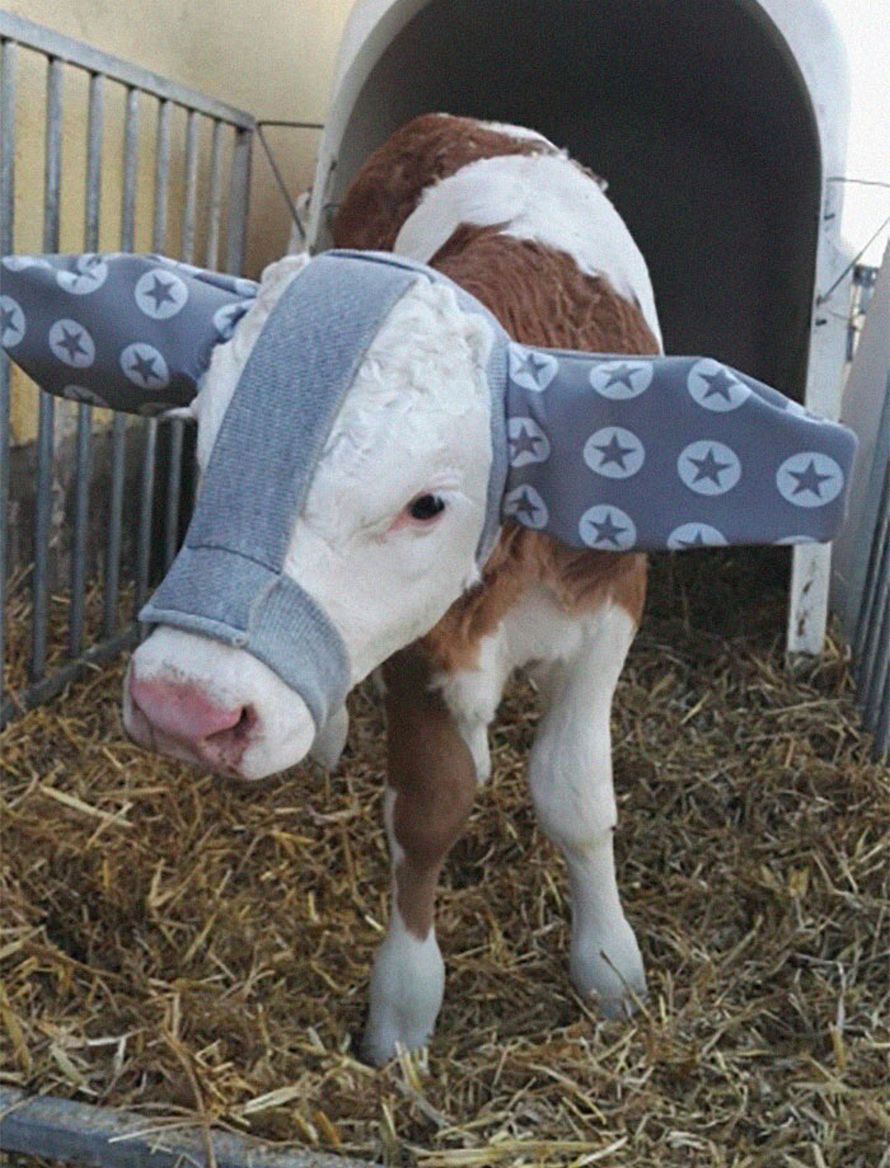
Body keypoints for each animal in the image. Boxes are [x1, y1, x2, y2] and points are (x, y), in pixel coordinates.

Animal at [123, 113, 661, 1064]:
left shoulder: (608, 614)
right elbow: (429, 810)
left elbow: (574, 796)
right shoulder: (423, 643)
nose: (184, 706)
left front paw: (608, 965)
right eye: (211, 448)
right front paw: (403, 1015)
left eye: (428, 504)